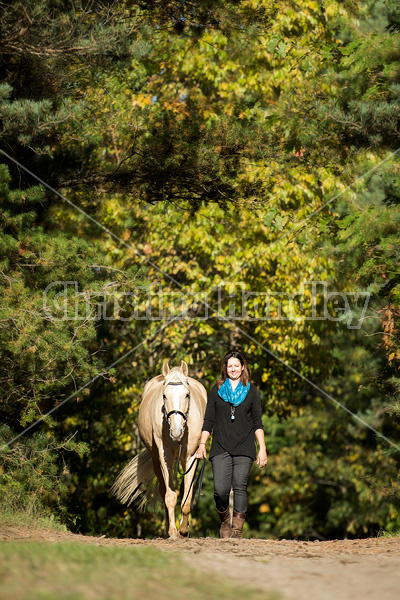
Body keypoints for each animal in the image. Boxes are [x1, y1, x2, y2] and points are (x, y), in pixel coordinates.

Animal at [111, 360, 206, 540]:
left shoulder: (191, 457)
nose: (176, 431)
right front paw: (173, 531)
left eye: (187, 395)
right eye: (164, 396)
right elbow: (170, 495)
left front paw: (184, 530)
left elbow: (187, 497)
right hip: (156, 459)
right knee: (163, 491)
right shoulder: (164, 456)